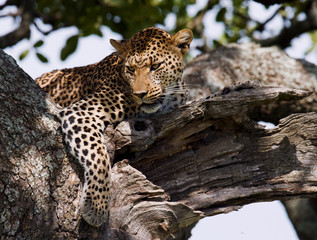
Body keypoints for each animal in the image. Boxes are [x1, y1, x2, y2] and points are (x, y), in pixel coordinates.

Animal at [34, 26, 193, 227]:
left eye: (155, 66)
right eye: (130, 69)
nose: (140, 94)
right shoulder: (80, 113)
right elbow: (99, 157)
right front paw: (96, 206)